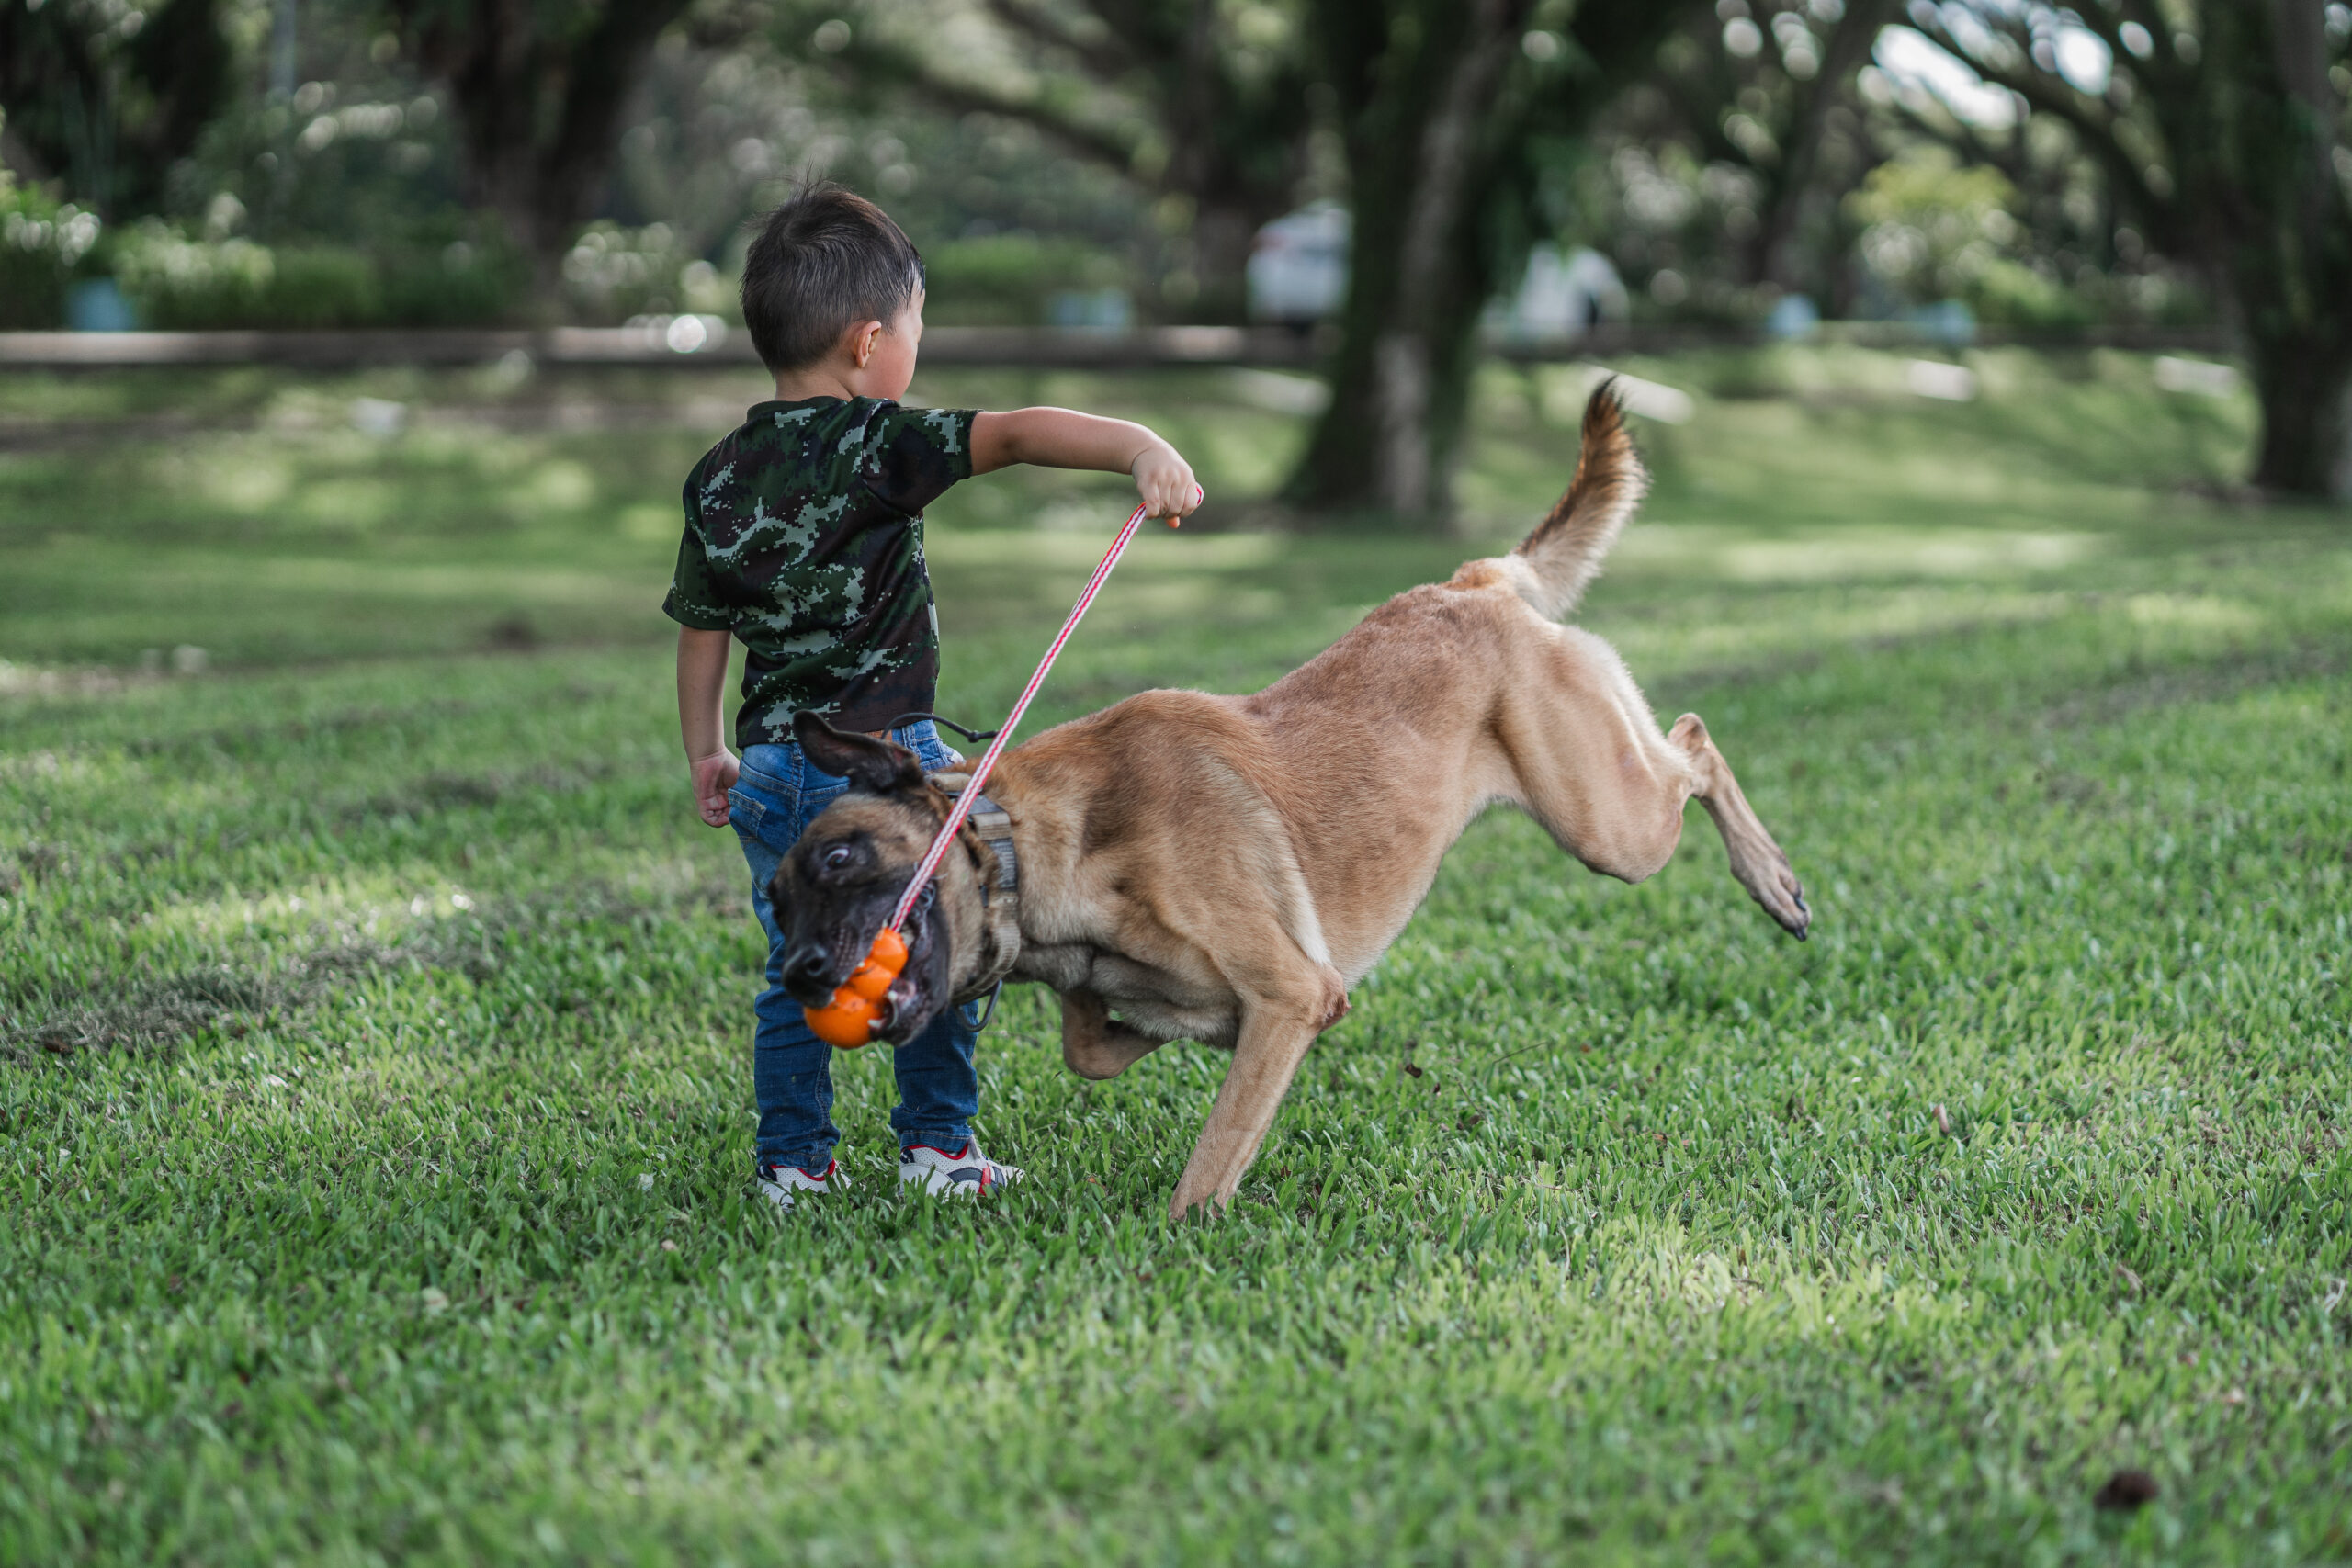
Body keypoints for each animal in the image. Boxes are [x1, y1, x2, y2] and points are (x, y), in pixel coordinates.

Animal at [766, 385, 1796, 1222]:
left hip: (1606, 823)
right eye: (774, 901)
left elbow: (1210, 1158)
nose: (802, 977)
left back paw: (1774, 880)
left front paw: (1185, 1227)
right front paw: (1151, 1025)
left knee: (1696, 743)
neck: (1033, 839)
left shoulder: (1294, 993)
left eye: (842, 859)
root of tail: (1471, 582)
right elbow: (1095, 1042)